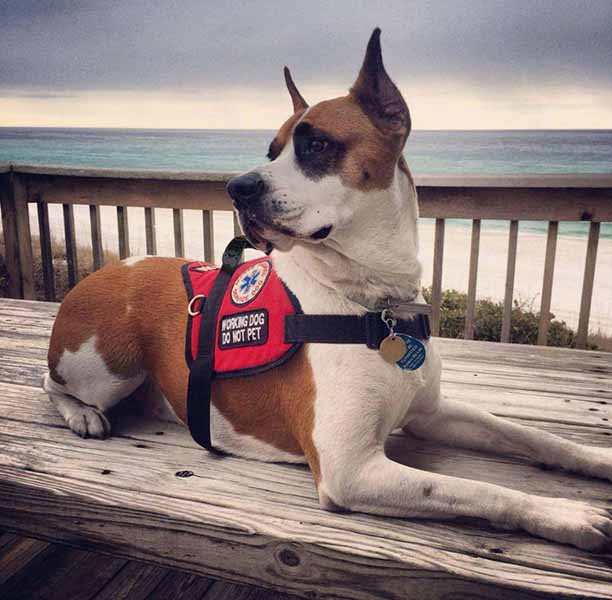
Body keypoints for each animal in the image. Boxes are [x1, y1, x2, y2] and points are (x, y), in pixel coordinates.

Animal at [44, 30, 612, 552]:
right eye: (272, 151)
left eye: (316, 145)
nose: (237, 188)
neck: (374, 303)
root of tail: (108, 270)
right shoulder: (352, 470)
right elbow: (475, 488)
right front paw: (563, 514)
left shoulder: (432, 414)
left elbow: (532, 435)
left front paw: (597, 459)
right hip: (107, 365)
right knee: (50, 383)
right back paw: (83, 416)